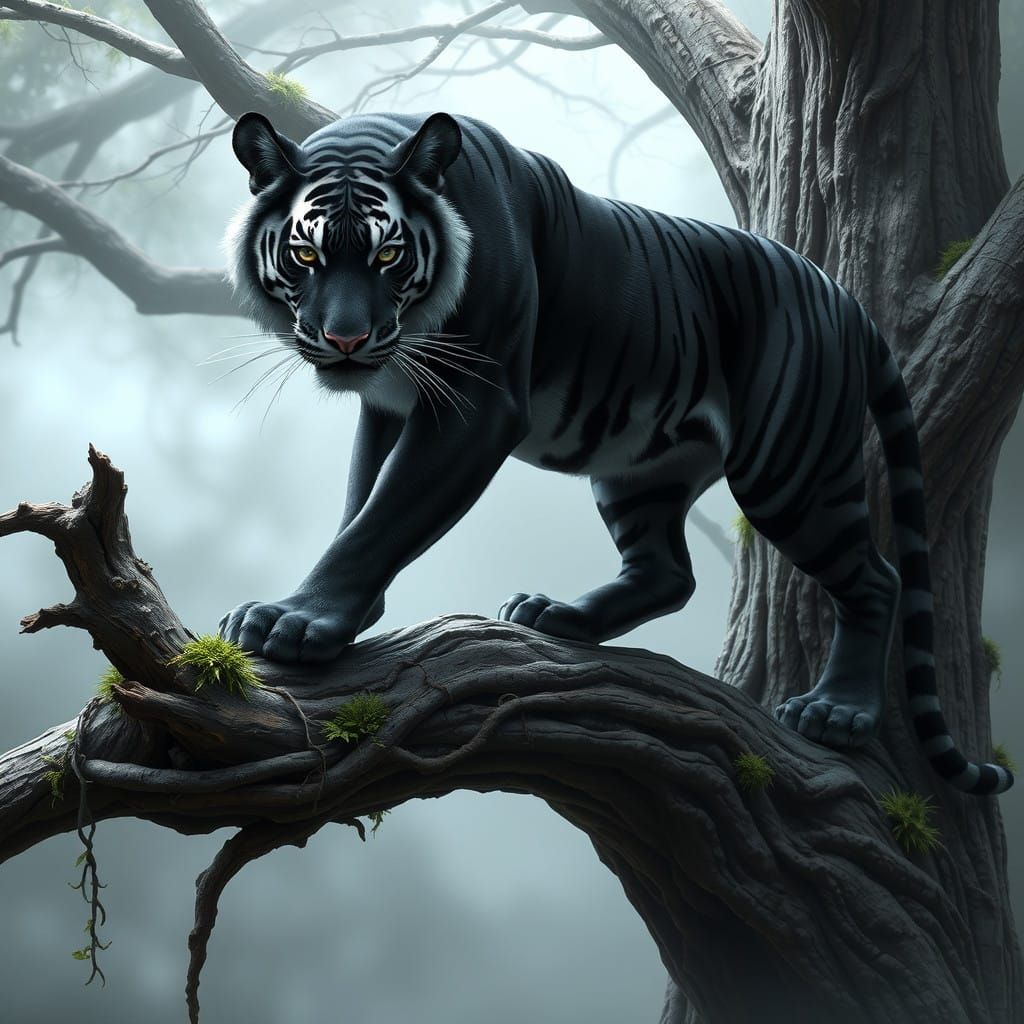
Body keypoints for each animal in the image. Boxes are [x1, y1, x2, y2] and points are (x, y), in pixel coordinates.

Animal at [221, 110, 1012, 796]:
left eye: (387, 253)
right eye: (305, 252)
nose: (347, 339)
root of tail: (846, 300)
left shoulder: (476, 406)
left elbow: (383, 517)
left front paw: (298, 621)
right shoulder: (390, 402)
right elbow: (361, 503)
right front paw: (338, 613)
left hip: (790, 470)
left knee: (877, 577)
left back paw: (838, 712)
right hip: (639, 471)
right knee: (668, 572)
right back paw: (558, 616)